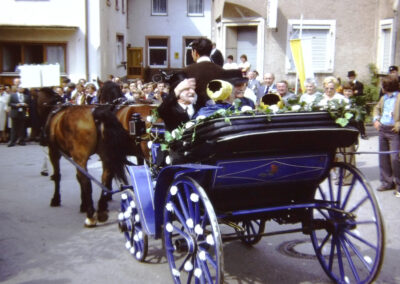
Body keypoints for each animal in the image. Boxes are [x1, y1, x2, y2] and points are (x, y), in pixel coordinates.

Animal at [38, 85, 134, 227]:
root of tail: (96, 113)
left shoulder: (54, 152)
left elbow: (58, 176)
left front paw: (56, 199)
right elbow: (78, 178)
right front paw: (83, 204)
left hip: (79, 156)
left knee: (86, 181)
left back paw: (90, 216)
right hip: (103, 154)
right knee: (105, 176)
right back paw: (101, 210)